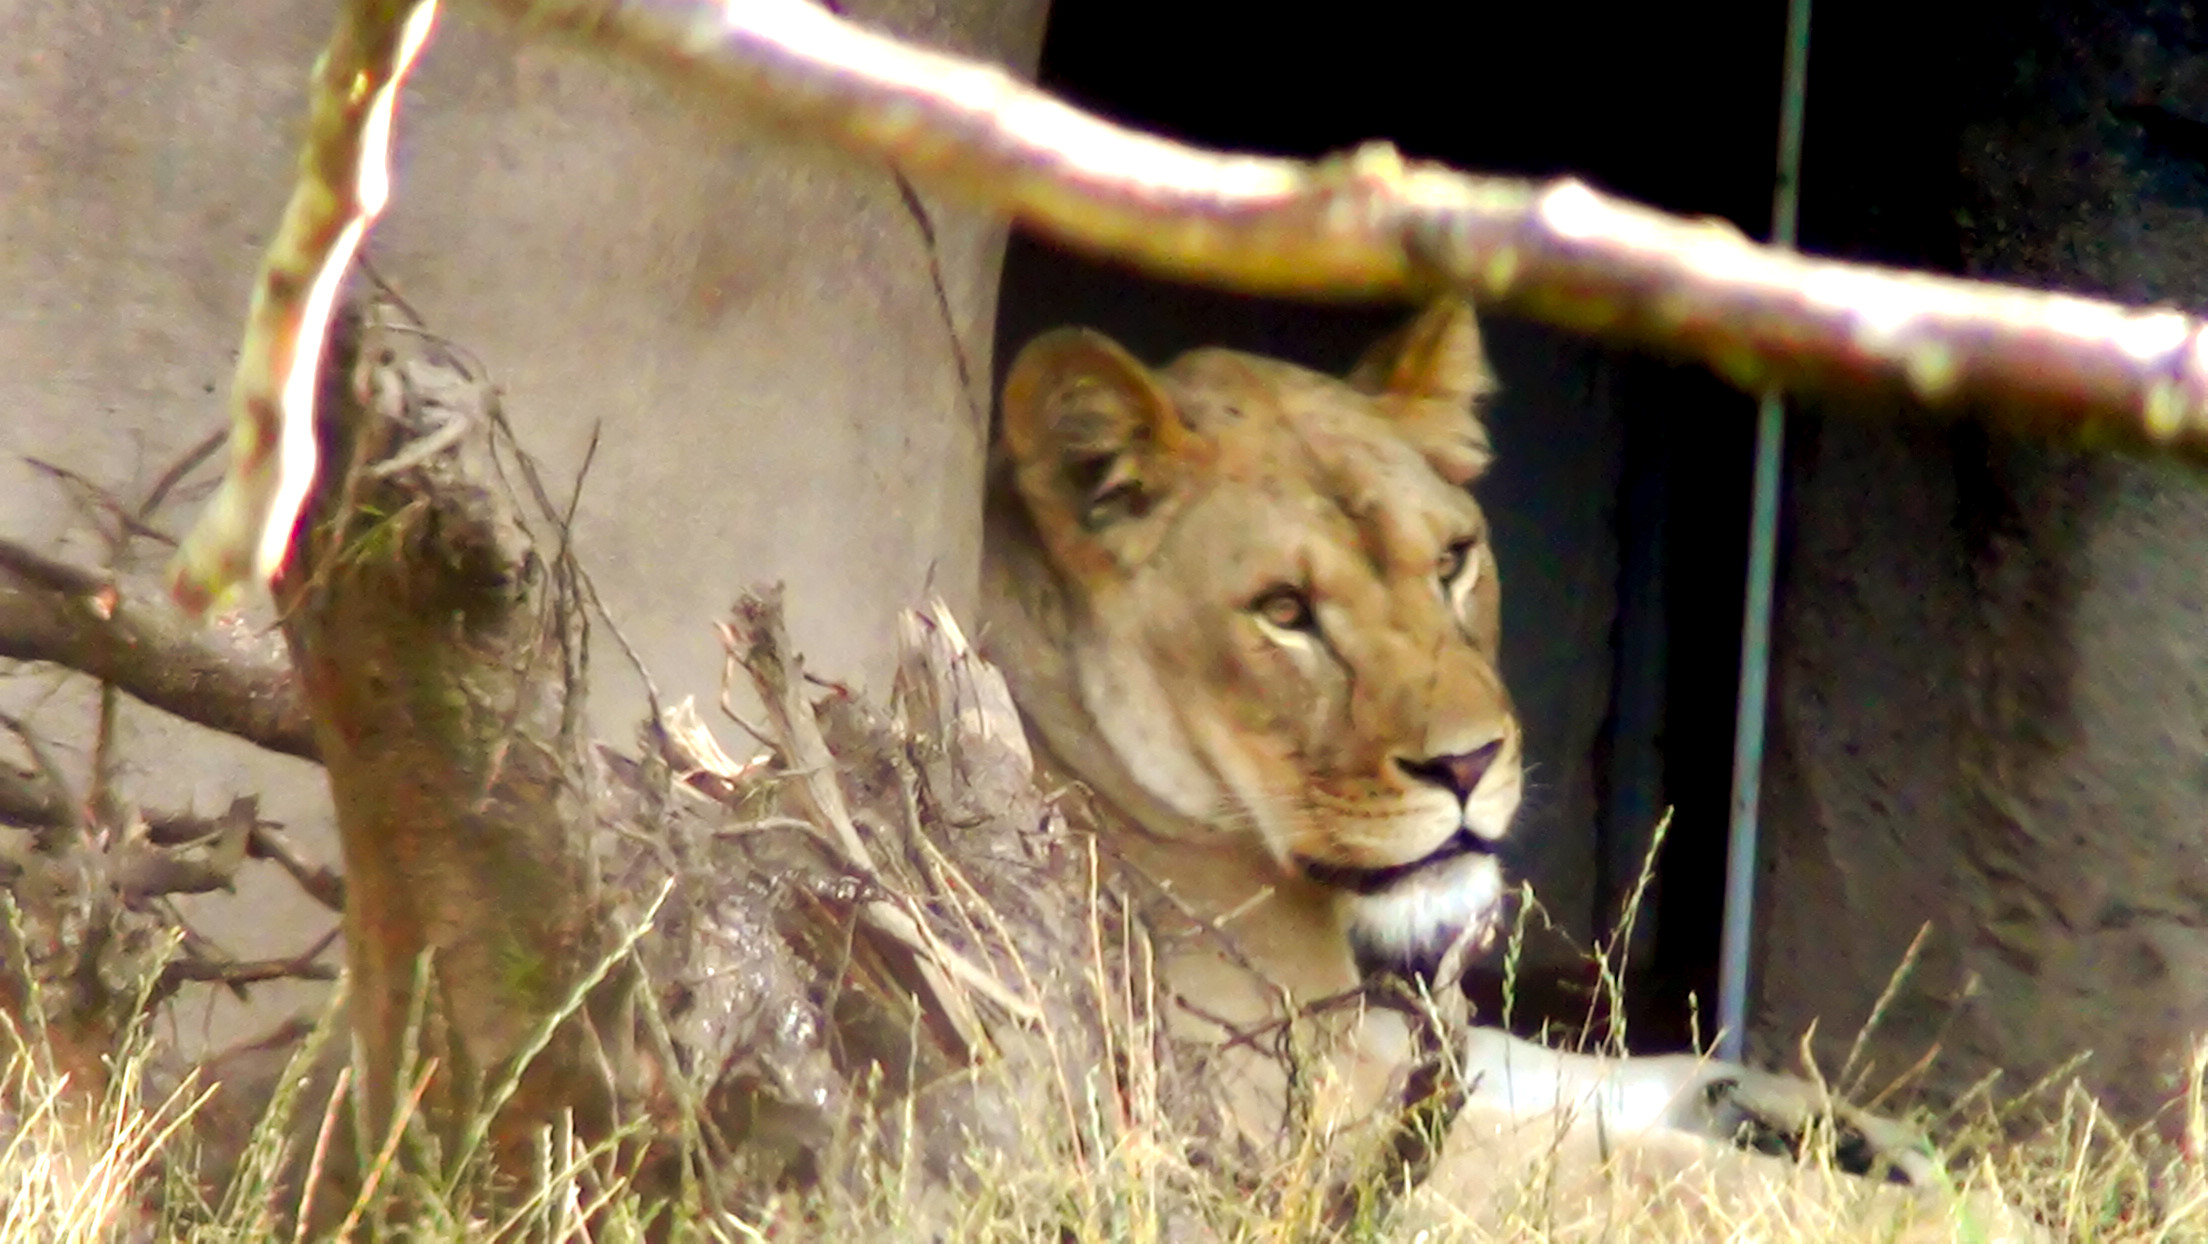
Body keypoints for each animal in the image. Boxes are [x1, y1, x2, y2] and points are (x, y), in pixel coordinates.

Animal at [978, 298, 1962, 1225]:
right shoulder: (1277, 1136)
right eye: (1284, 610)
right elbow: (1641, 1169)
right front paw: (1937, 1205)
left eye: (1453, 560)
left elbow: (1582, 1070)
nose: (1467, 765)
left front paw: (1837, 1124)